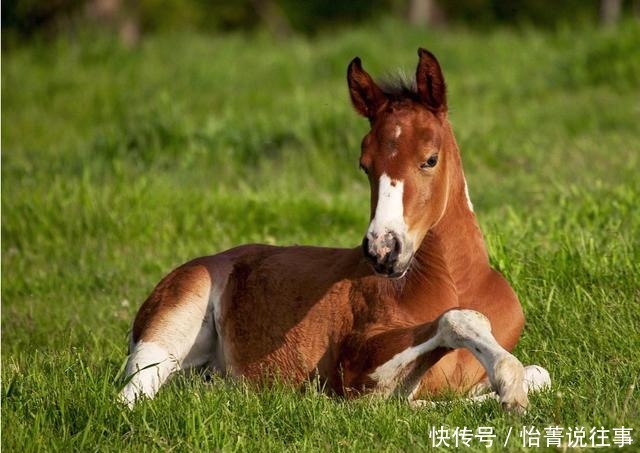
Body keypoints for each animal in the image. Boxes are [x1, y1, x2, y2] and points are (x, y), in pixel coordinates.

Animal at [121, 48, 552, 410]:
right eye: (365, 165)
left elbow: (540, 374)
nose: (383, 250)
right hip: (169, 326)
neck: (456, 282)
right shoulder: (356, 368)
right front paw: (507, 386)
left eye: (430, 159)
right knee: (131, 396)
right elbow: (453, 325)